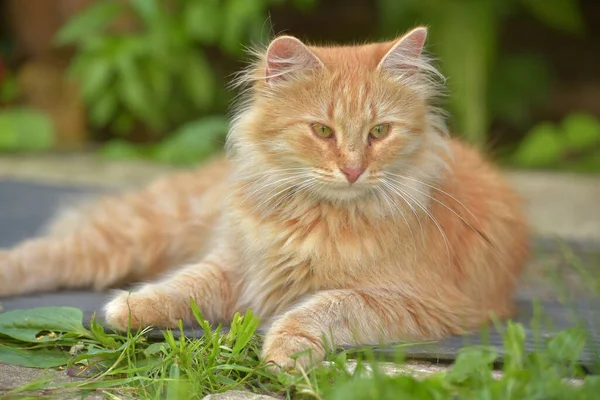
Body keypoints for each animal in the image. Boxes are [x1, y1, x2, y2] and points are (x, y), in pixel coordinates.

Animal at [0, 27, 528, 368]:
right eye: (322, 130)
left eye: (379, 132)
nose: (353, 170)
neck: (315, 217)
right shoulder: (237, 265)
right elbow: (182, 285)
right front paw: (130, 309)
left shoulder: (416, 300)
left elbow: (325, 307)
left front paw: (285, 349)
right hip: (138, 232)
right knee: (43, 253)